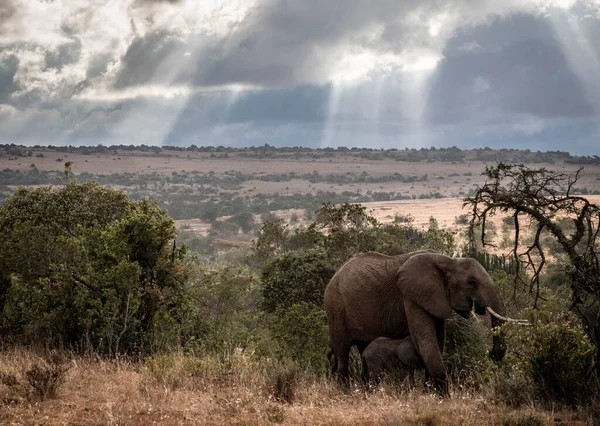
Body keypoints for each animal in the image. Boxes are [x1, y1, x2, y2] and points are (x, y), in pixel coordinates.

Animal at [324, 250, 506, 396]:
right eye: (472, 282)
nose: (491, 353)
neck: (448, 261)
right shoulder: (411, 296)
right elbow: (425, 340)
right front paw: (443, 399)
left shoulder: (435, 299)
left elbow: (438, 341)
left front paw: (429, 394)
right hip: (336, 309)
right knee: (342, 354)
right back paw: (346, 394)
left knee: (364, 351)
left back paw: (365, 393)